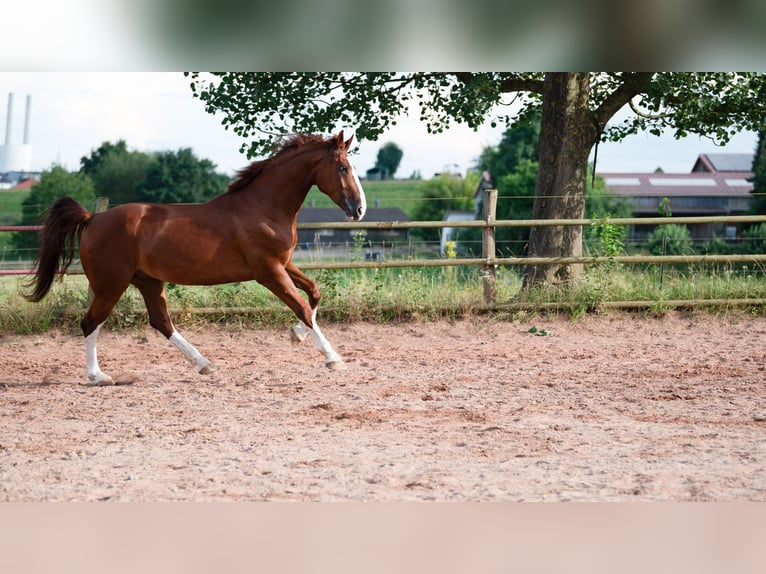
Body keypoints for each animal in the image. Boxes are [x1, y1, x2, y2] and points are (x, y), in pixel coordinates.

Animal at [25, 133, 368, 388]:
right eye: (342, 168)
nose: (359, 209)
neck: (263, 207)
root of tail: (92, 219)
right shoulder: (269, 271)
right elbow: (302, 307)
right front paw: (333, 359)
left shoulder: (284, 265)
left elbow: (314, 294)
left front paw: (296, 336)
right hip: (111, 284)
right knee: (91, 323)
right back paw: (98, 376)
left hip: (148, 281)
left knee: (161, 322)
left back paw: (205, 364)